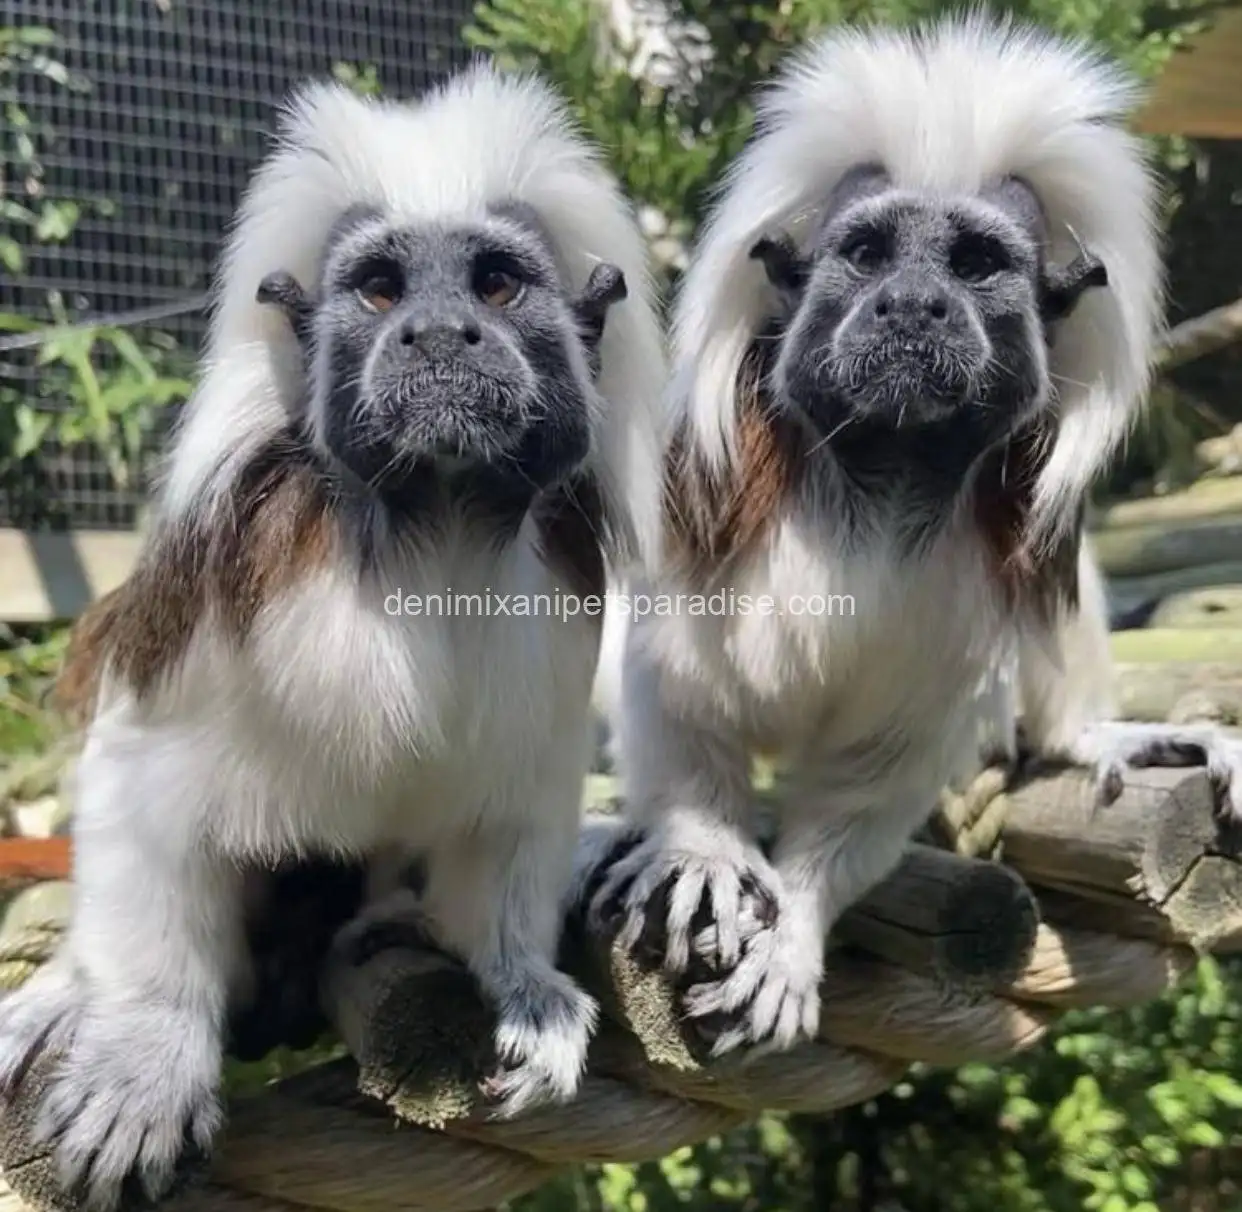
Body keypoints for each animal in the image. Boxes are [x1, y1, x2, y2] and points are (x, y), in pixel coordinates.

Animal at [0, 64, 665, 1211]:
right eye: (382, 291)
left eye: (496, 286)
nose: (438, 336)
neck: (433, 532)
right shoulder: (223, 577)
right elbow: (140, 784)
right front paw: (143, 1048)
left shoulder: (558, 595)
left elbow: (515, 806)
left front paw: (520, 981)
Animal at [584, 15, 1242, 1059]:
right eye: (867, 254)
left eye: (973, 264)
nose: (911, 304)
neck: (883, 483)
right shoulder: (704, 513)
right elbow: (679, 701)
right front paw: (703, 853)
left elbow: (876, 783)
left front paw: (795, 934)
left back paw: (1086, 732)